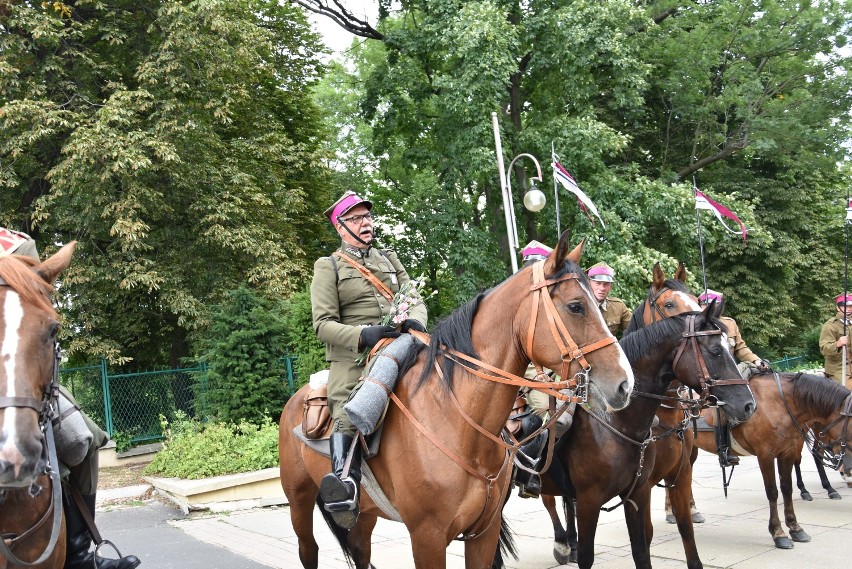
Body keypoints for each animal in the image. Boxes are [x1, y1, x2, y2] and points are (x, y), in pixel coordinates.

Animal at [276, 233, 636, 564]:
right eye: (576, 306)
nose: (625, 384)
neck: (459, 423)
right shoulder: (428, 537)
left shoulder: (484, 532)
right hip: (298, 500)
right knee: (308, 549)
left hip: (363, 513)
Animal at [536, 306, 756, 568]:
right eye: (715, 352)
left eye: (730, 348)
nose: (748, 405)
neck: (616, 422)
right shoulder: (592, 499)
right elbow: (589, 555)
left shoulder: (652, 486)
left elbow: (659, 540)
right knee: (546, 502)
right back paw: (562, 543)